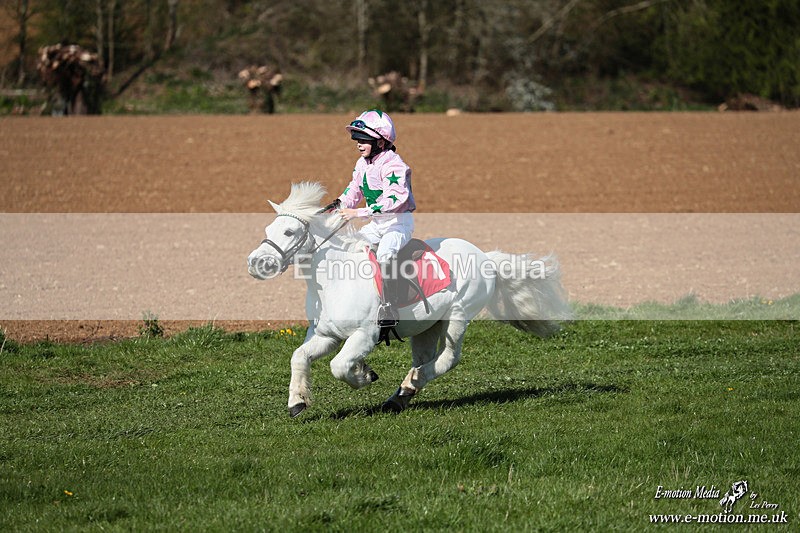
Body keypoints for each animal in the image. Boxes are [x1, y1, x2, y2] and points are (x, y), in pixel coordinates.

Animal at [247, 182, 572, 417]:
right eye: (267, 229)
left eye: (289, 231)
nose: (256, 263)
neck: (334, 281)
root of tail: (485, 257)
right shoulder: (325, 334)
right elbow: (299, 357)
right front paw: (297, 402)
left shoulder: (364, 335)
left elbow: (339, 366)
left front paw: (364, 374)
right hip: (427, 326)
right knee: (425, 358)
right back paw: (400, 396)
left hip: (458, 318)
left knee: (447, 359)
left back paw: (409, 384)